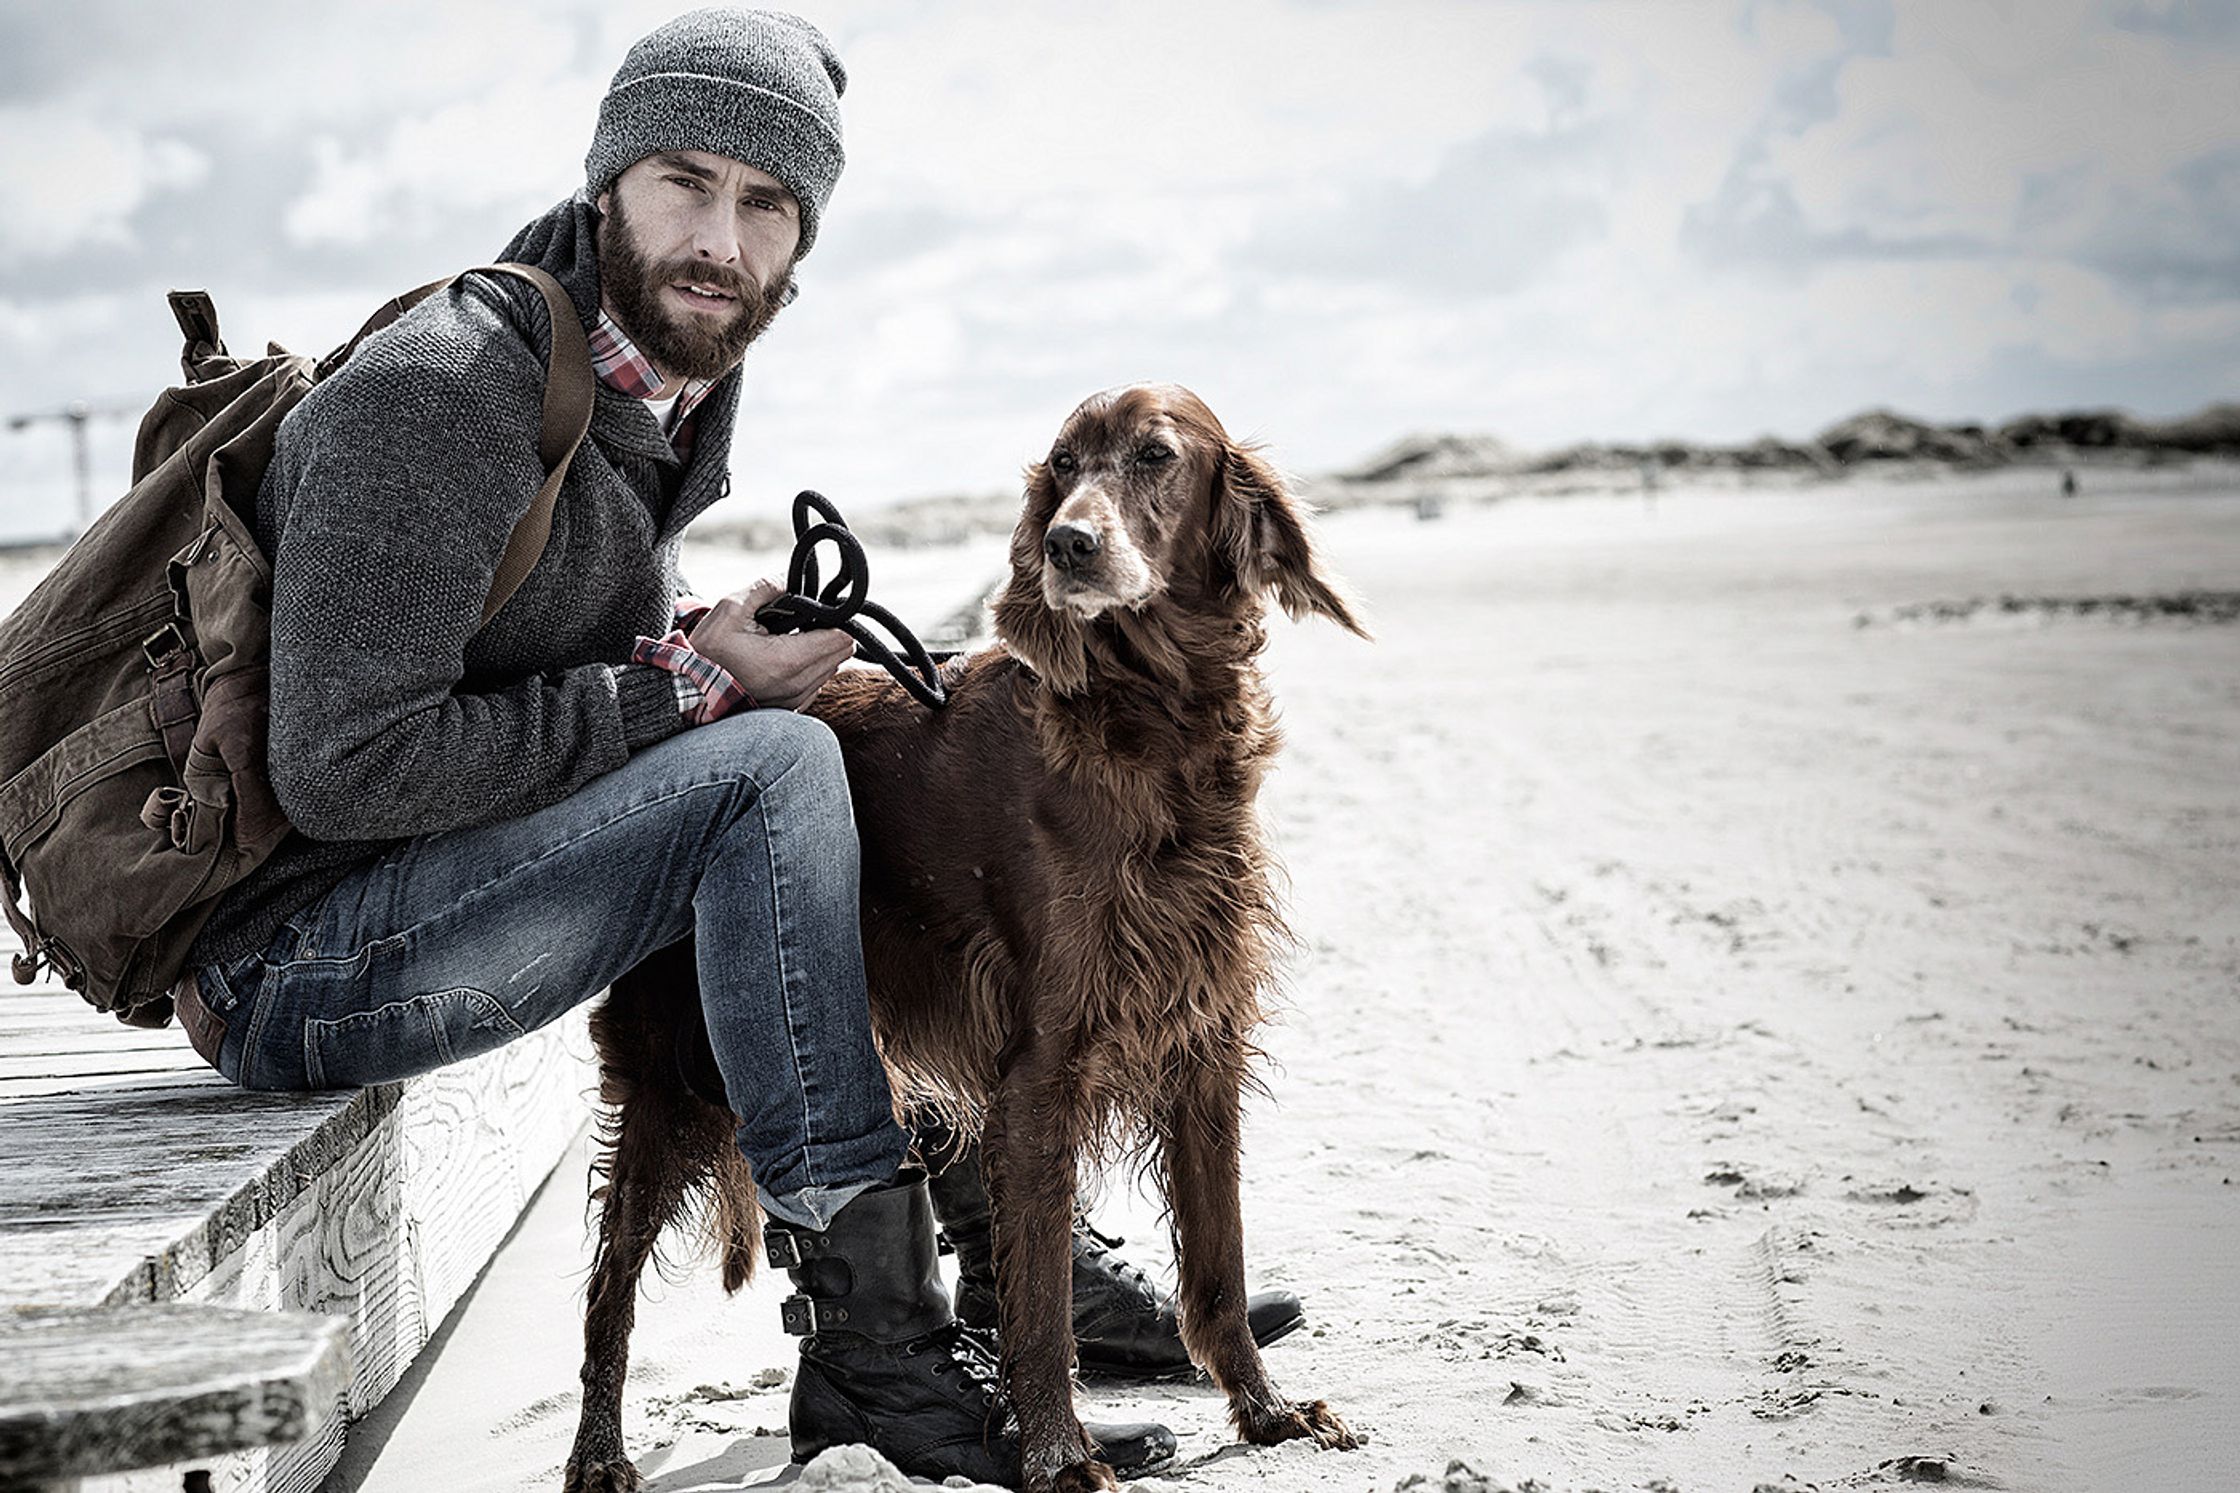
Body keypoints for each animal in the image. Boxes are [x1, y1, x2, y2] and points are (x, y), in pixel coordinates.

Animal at [560, 389, 1361, 1493]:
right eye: (1062, 466)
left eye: (1156, 454)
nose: (1068, 543)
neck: (1145, 721)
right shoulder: (1042, 1062)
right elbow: (1038, 1302)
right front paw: (1060, 1454)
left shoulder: (1201, 1035)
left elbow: (1217, 1263)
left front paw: (1267, 1410)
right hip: (672, 1069)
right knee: (608, 1287)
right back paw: (598, 1454)